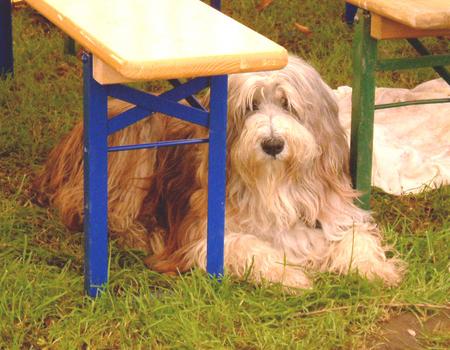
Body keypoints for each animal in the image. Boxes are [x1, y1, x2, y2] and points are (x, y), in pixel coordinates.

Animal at [34, 56, 404, 288]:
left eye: (288, 104)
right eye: (251, 105)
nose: (273, 144)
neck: (273, 184)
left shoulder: (334, 210)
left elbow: (355, 236)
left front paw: (377, 270)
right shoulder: (200, 236)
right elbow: (249, 246)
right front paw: (288, 275)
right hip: (136, 132)